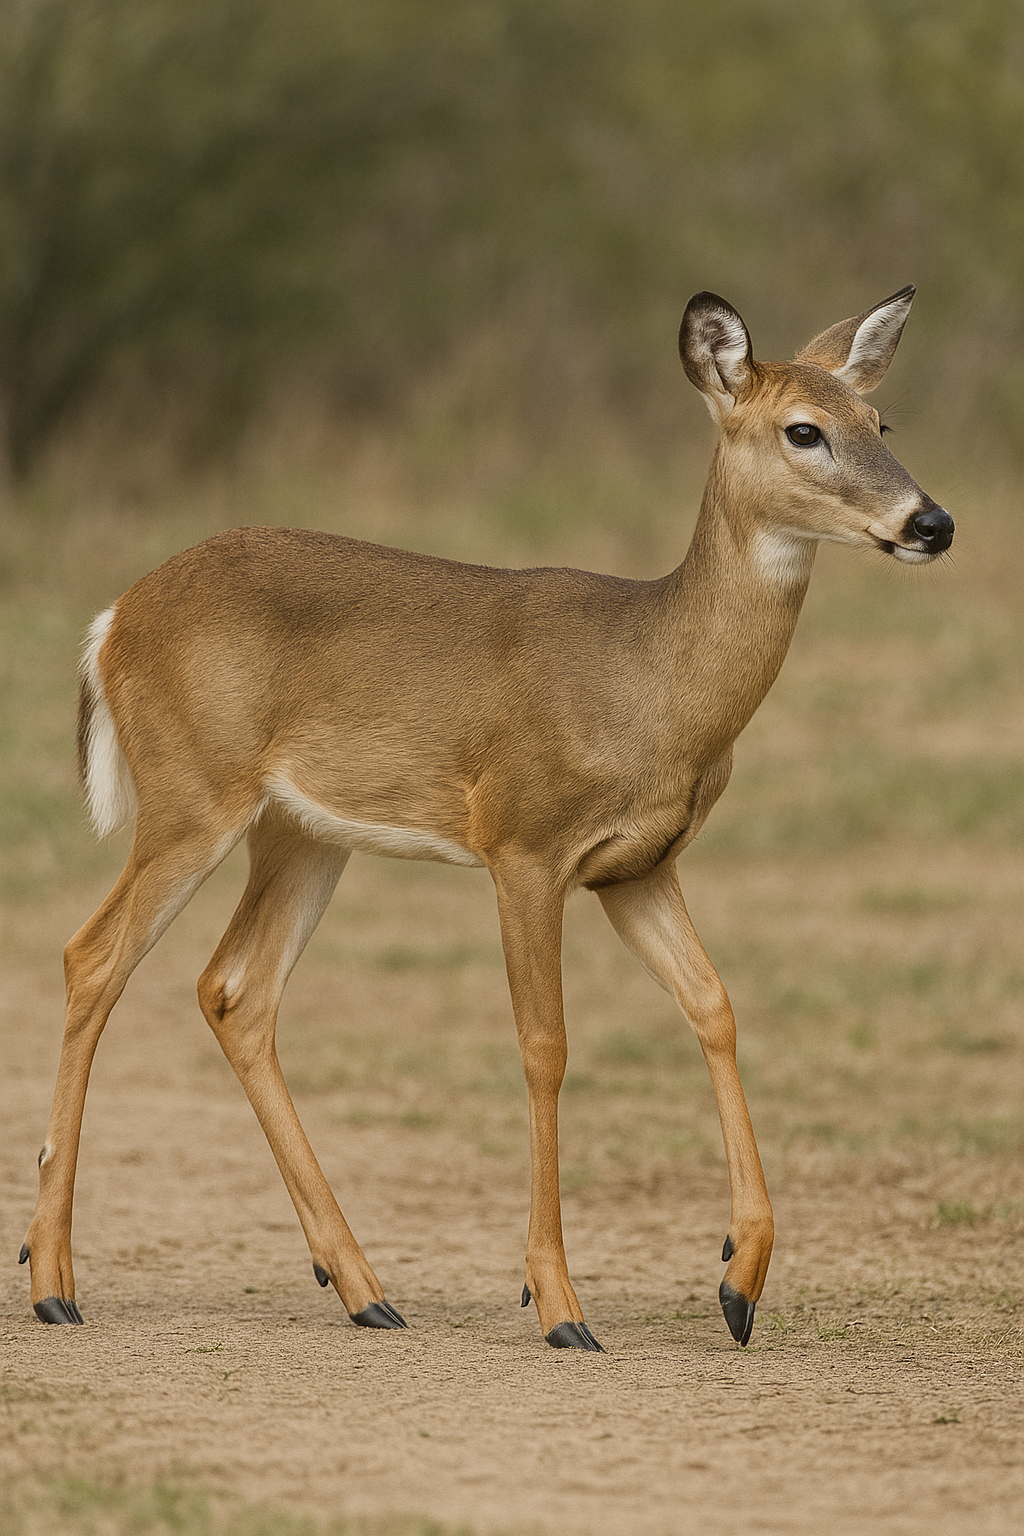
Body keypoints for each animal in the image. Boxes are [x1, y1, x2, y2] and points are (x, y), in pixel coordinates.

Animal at [20, 287, 953, 1351]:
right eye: (804, 430)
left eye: (881, 421)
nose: (932, 521)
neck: (651, 681)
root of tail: (112, 621)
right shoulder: (524, 843)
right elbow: (545, 1045)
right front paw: (559, 1305)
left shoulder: (639, 868)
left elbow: (714, 1005)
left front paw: (739, 1281)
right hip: (192, 796)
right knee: (94, 955)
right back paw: (54, 1281)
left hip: (301, 833)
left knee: (234, 989)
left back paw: (364, 1289)